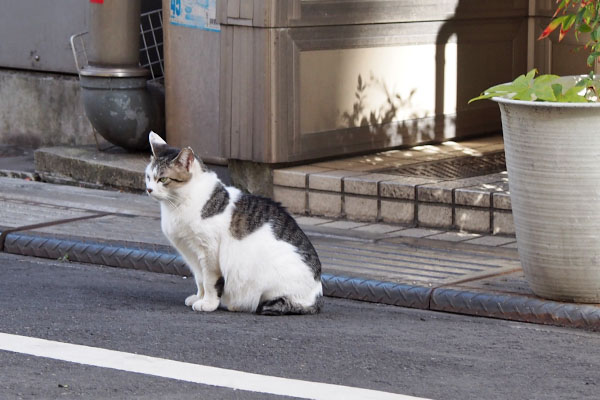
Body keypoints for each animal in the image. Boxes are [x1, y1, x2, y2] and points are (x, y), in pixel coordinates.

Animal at [145, 132, 324, 316]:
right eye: (148, 177)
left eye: (163, 179)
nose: (149, 189)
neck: (180, 203)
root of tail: (317, 298)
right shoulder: (191, 254)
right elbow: (199, 280)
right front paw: (198, 297)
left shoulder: (209, 253)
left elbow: (209, 282)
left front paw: (208, 303)